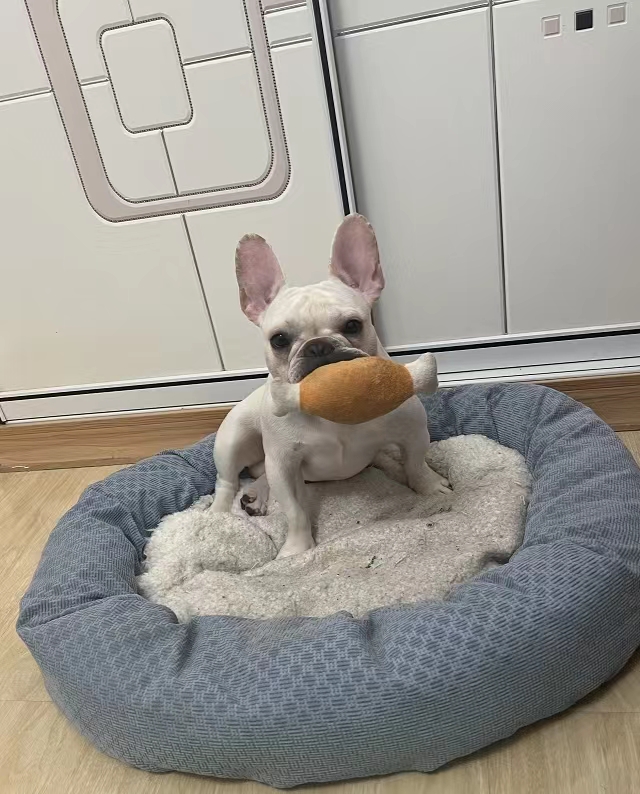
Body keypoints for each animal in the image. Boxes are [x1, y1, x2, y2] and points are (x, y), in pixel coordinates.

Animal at [211, 214, 451, 558]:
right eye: (279, 339)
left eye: (353, 325)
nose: (318, 346)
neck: (331, 406)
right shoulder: (283, 463)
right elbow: (295, 510)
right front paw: (297, 548)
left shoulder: (413, 432)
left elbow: (416, 464)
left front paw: (430, 488)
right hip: (233, 438)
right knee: (227, 481)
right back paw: (216, 517)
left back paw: (255, 494)